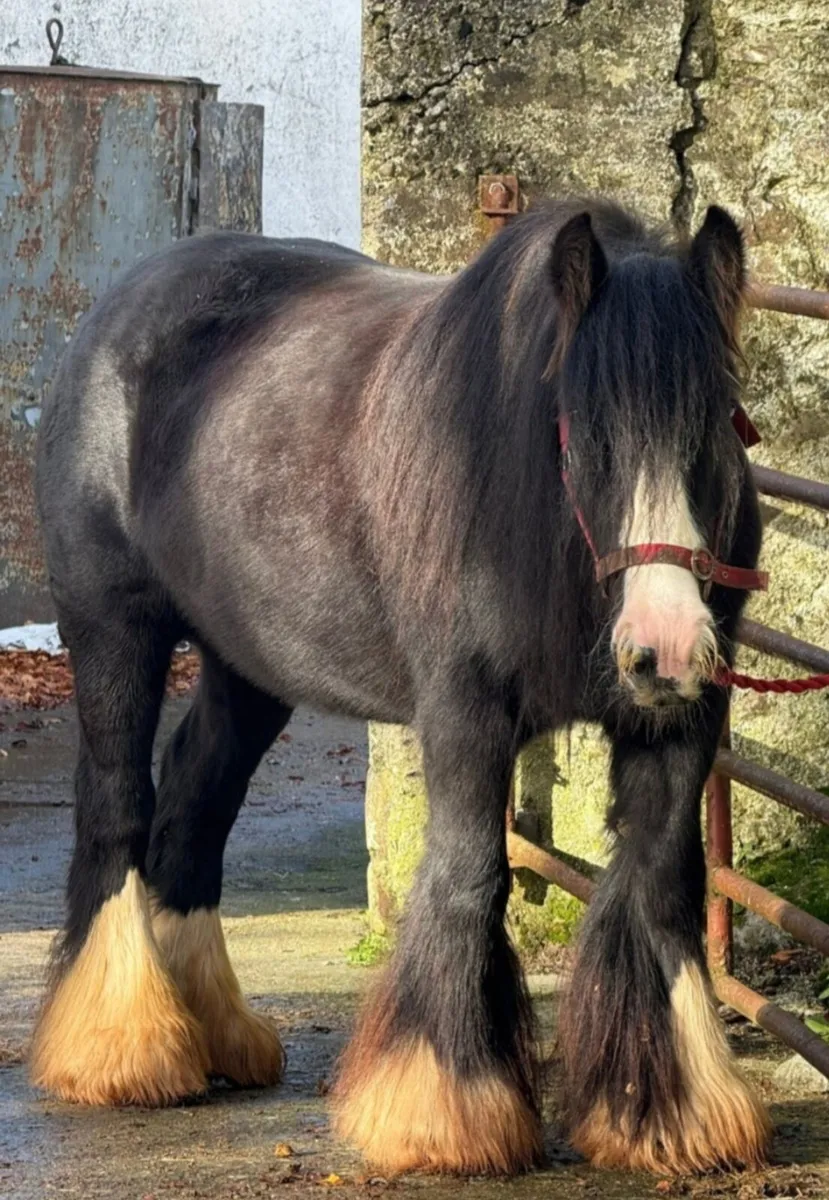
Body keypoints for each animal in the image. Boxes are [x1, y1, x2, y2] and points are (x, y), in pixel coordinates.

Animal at [31, 197, 771, 1177]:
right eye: (583, 433)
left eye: (716, 426)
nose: (665, 646)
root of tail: (118, 308)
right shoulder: (464, 710)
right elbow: (467, 877)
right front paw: (444, 1112)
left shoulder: (673, 727)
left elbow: (656, 880)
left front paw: (667, 1117)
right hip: (115, 630)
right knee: (119, 804)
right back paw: (122, 1049)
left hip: (247, 663)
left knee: (194, 807)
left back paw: (211, 1035)